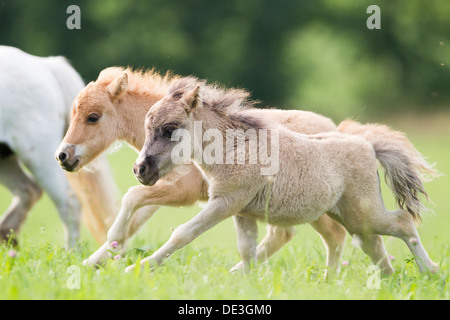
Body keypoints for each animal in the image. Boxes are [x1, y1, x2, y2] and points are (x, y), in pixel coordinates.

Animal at [0, 45, 118, 245]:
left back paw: (71, 250)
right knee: (28, 190)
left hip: (38, 154)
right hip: (6, 158)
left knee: (68, 203)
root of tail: (45, 65)